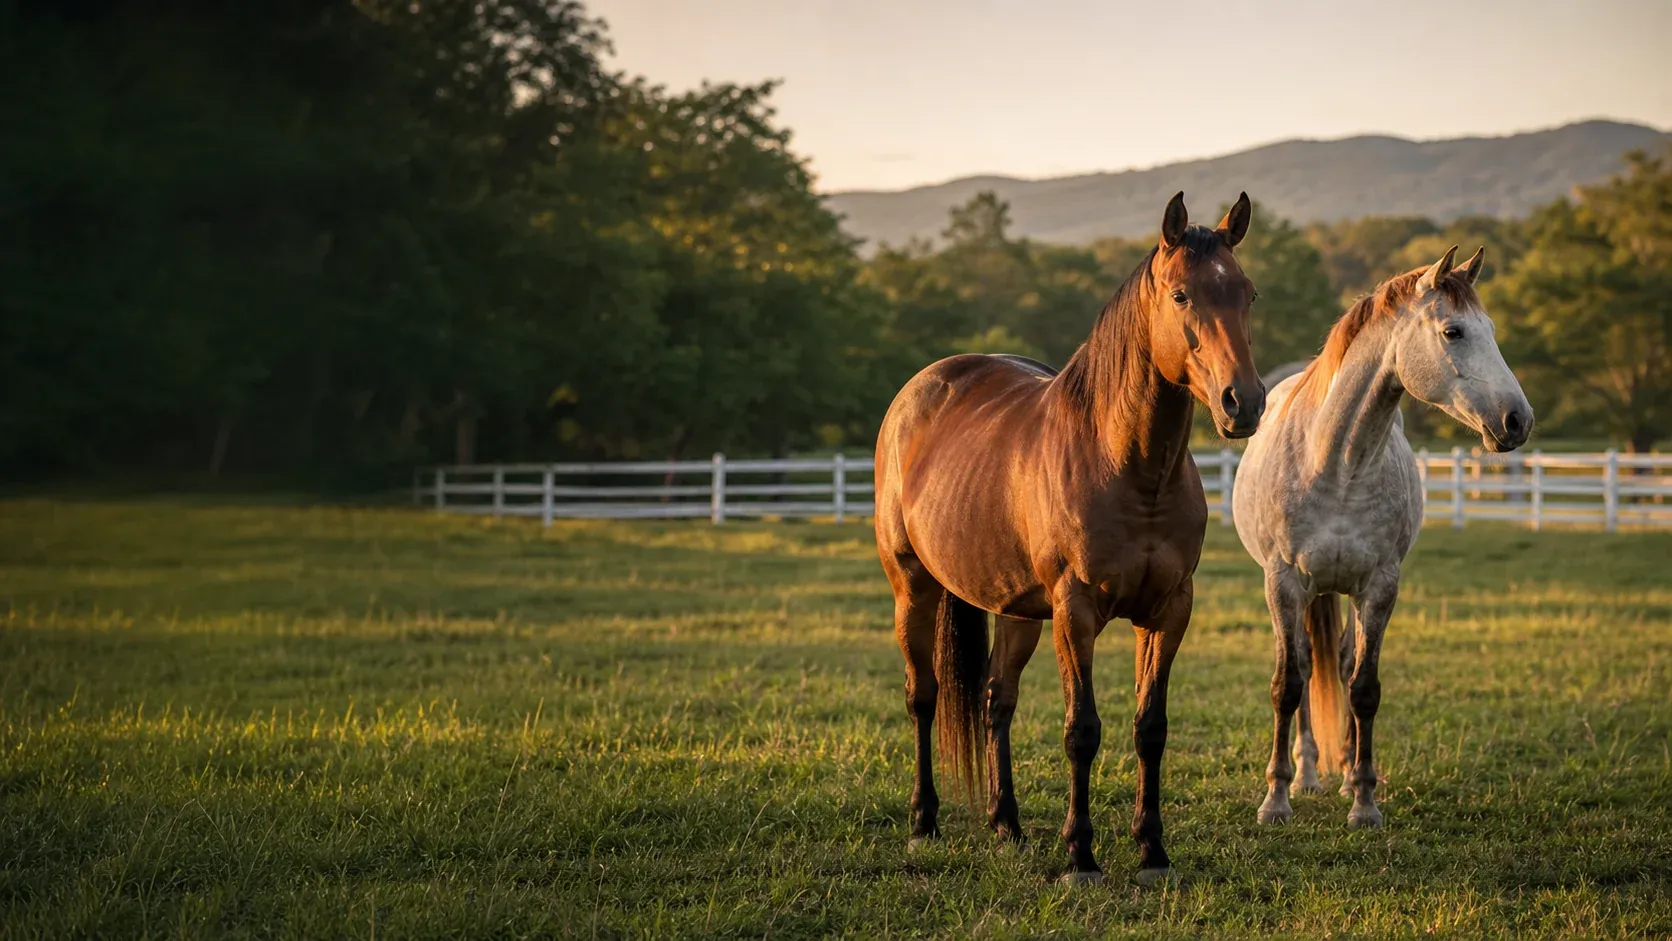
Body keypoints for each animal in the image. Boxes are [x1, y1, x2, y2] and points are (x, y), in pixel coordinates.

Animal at [874, 191, 1266, 885]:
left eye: (1247, 293)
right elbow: (1081, 730)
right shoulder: (1075, 611)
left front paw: (1152, 850)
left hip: (1016, 609)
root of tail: (922, 388)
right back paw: (924, 824)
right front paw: (1081, 855)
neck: (1128, 466)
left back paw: (1007, 826)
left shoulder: (1169, 610)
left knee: (996, 702)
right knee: (924, 696)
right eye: (1181, 295)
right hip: (913, 588)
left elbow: (1150, 727)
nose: (1242, 403)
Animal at [1231, 246, 1532, 829]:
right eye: (1454, 331)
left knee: (1343, 664)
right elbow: (1287, 686)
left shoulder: (1379, 588)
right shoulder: (1282, 585)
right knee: (1307, 665)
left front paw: (1365, 801)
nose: (1518, 420)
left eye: (1490, 329)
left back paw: (1347, 770)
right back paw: (1307, 775)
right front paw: (1275, 799)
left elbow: (1364, 689)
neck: (1336, 462)